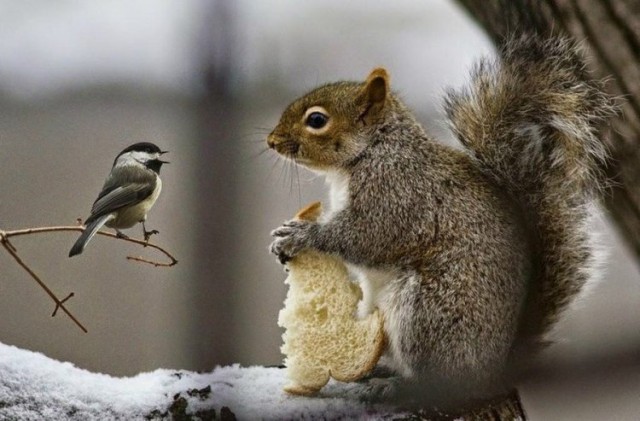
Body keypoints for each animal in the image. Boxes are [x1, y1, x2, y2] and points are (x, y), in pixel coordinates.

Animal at [266, 34, 616, 408]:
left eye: (317, 120)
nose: (271, 141)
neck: (374, 149)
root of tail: (494, 373)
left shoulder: (396, 193)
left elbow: (366, 236)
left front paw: (299, 235)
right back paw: (379, 369)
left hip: (429, 312)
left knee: (436, 380)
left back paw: (394, 387)